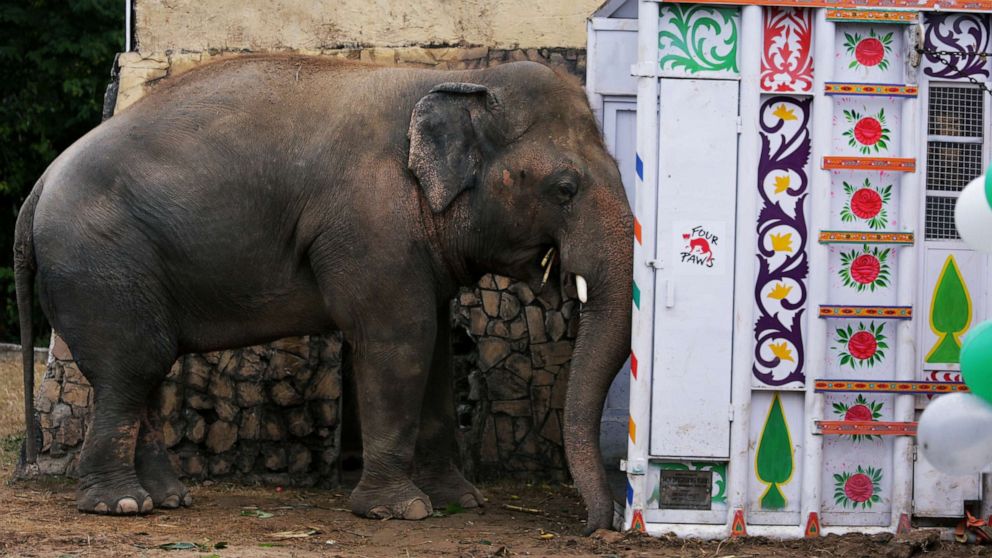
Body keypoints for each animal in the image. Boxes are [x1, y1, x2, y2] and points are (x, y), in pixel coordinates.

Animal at [13, 55, 636, 532]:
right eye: (564, 188)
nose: (593, 527)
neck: (460, 78)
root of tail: (38, 186)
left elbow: (434, 348)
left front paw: (460, 502)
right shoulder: (369, 222)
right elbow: (400, 339)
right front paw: (400, 512)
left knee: (145, 368)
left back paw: (168, 498)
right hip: (101, 262)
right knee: (132, 367)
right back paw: (120, 505)